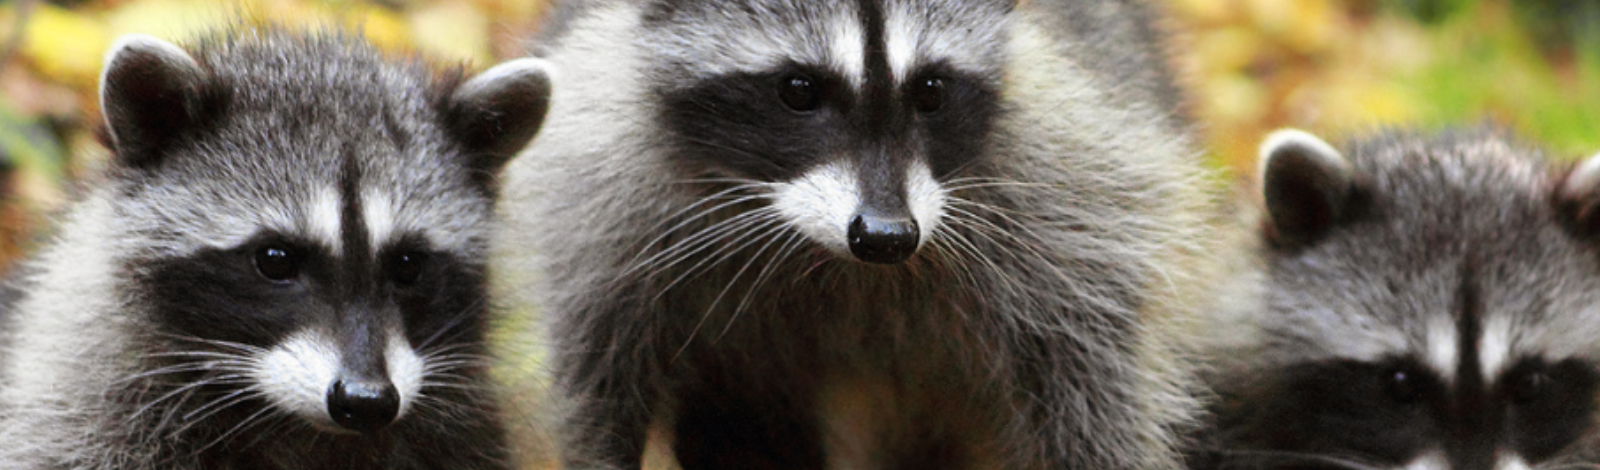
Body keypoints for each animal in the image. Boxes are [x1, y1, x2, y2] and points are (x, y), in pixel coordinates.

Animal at [492, 0, 1216, 470]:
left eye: (931, 90)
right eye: (797, 89)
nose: (887, 235)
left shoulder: (1074, 202)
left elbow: (1096, 401)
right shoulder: (601, 213)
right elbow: (595, 397)